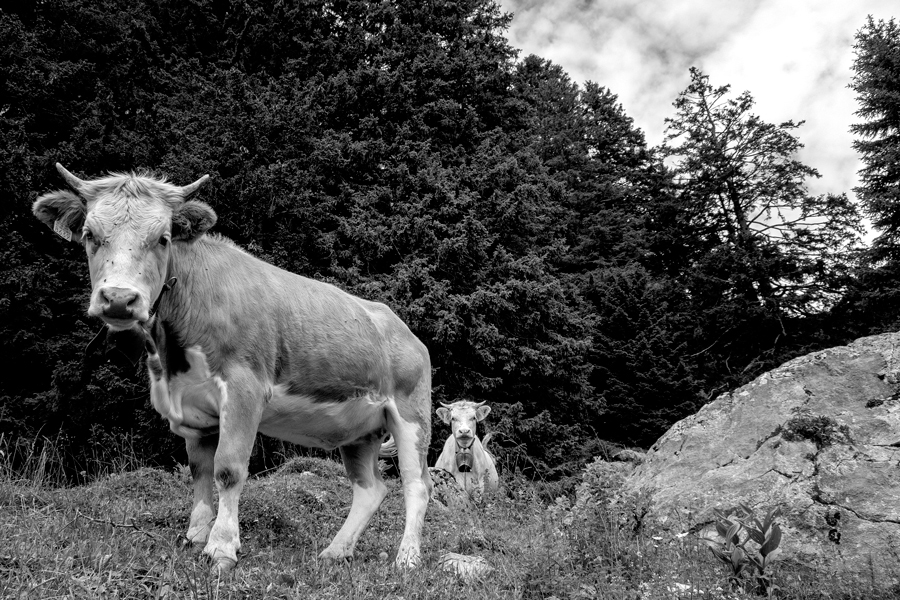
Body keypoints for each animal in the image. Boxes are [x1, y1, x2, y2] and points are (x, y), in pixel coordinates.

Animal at [31, 164, 432, 572]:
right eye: (89, 235)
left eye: (163, 239)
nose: (118, 299)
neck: (171, 358)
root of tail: (400, 326)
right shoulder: (193, 407)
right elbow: (200, 471)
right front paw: (195, 536)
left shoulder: (244, 389)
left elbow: (228, 468)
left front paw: (221, 547)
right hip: (358, 430)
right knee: (370, 488)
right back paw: (336, 550)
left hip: (411, 414)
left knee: (417, 484)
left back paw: (407, 558)